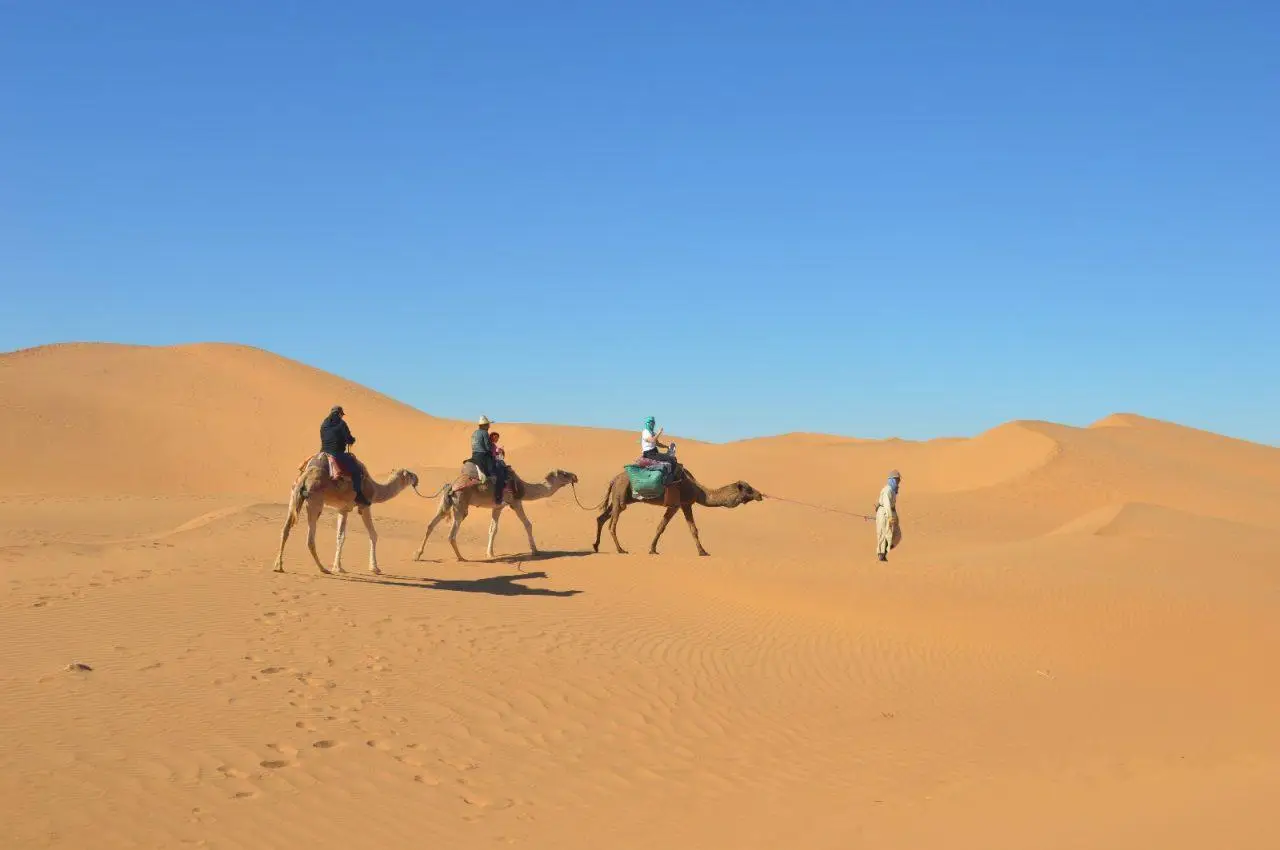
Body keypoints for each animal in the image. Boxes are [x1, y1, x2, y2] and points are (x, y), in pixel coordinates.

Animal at [272, 450, 417, 578]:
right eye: (409, 474)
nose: (417, 478)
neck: (375, 489)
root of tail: (305, 477)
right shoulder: (364, 506)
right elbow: (372, 535)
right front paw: (374, 568)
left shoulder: (342, 509)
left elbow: (339, 536)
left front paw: (338, 567)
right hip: (315, 501)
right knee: (310, 538)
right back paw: (323, 568)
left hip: (294, 496)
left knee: (285, 530)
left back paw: (278, 566)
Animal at [414, 460, 581, 560]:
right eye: (564, 474)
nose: (575, 476)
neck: (523, 487)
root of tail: (451, 486)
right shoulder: (514, 502)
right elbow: (527, 524)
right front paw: (535, 551)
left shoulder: (497, 506)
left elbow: (492, 529)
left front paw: (490, 553)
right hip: (460, 505)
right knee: (451, 534)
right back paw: (461, 558)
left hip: (446, 504)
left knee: (430, 525)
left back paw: (418, 554)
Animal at [588, 465, 757, 558]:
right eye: (748, 489)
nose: (759, 494)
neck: (698, 490)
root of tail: (613, 479)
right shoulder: (678, 505)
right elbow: (669, 527)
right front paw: (703, 552)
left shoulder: (684, 505)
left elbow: (683, 528)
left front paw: (652, 550)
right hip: (621, 495)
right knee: (612, 523)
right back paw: (620, 549)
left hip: (620, 497)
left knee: (601, 517)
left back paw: (596, 546)